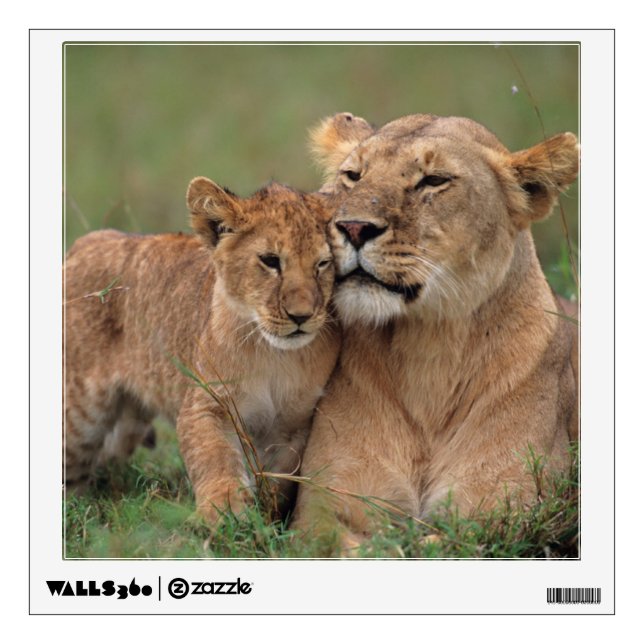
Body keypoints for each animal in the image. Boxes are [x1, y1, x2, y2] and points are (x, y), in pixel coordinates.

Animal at [64, 178, 340, 521]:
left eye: (323, 264)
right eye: (270, 260)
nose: (301, 316)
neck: (274, 355)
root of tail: (88, 241)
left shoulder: (295, 427)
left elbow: (279, 479)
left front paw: (264, 515)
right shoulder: (207, 403)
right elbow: (215, 457)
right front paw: (225, 511)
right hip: (80, 415)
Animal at [293, 112, 579, 551]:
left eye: (434, 180)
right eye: (353, 176)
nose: (353, 227)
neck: (429, 349)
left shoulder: (503, 509)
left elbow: (432, 546)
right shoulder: (323, 509)